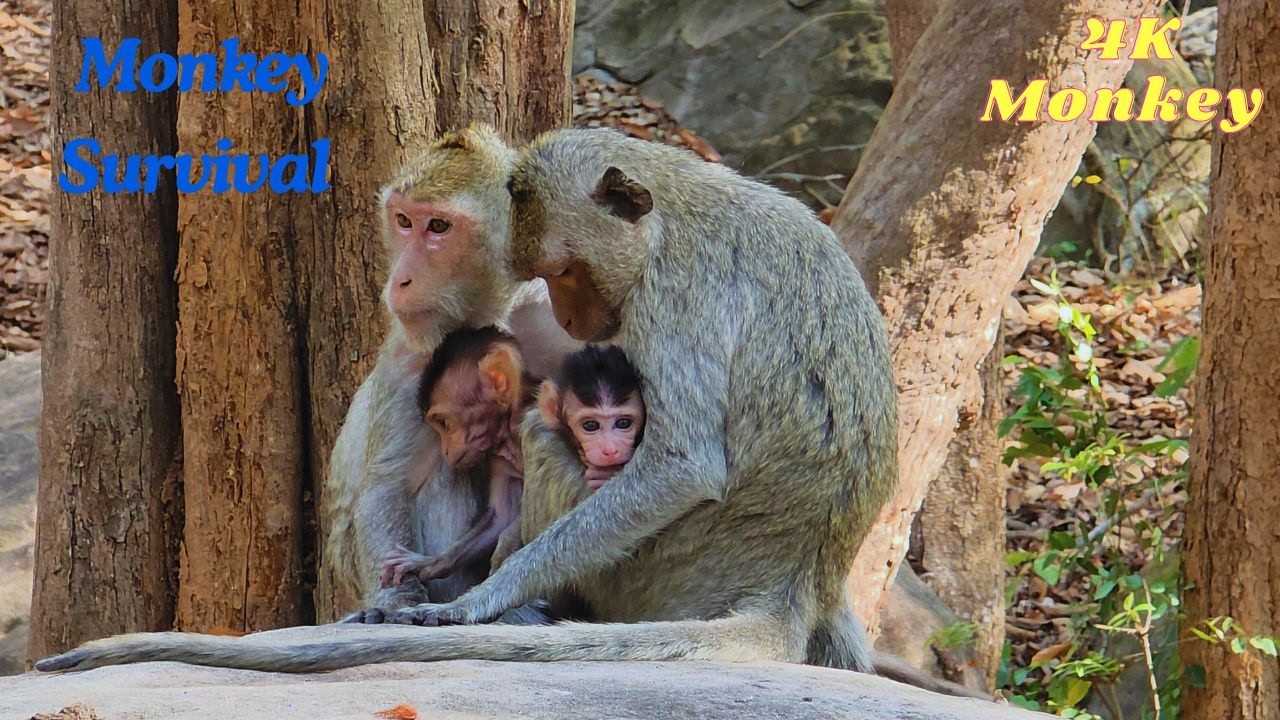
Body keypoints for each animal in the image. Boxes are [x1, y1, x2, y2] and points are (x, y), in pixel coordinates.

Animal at [380, 327, 535, 588]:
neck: (511, 430)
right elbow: (500, 518)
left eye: (444, 423)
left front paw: (506, 549)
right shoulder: (499, 457)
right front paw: (427, 563)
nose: (445, 450)